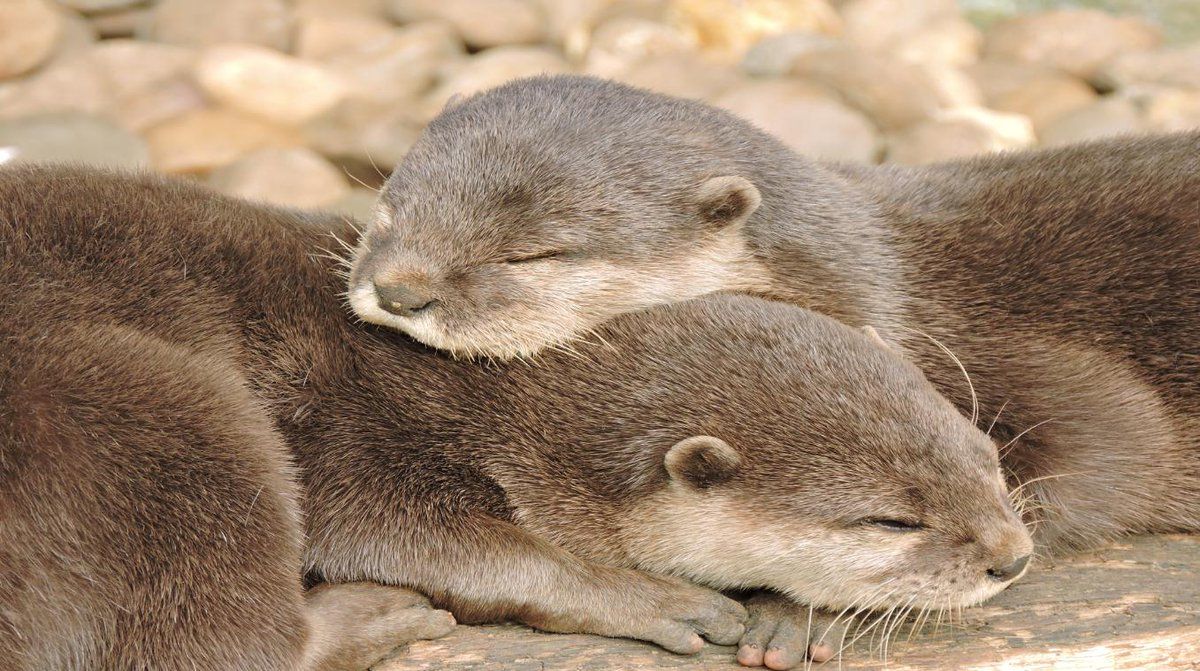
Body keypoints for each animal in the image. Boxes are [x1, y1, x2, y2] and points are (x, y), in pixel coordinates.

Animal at [2, 166, 1031, 670]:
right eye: (891, 520)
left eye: (988, 460)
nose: (1012, 559)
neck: (496, 390)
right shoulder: (356, 434)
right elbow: (447, 543)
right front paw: (653, 598)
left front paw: (791, 614)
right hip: (164, 407)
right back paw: (372, 619)